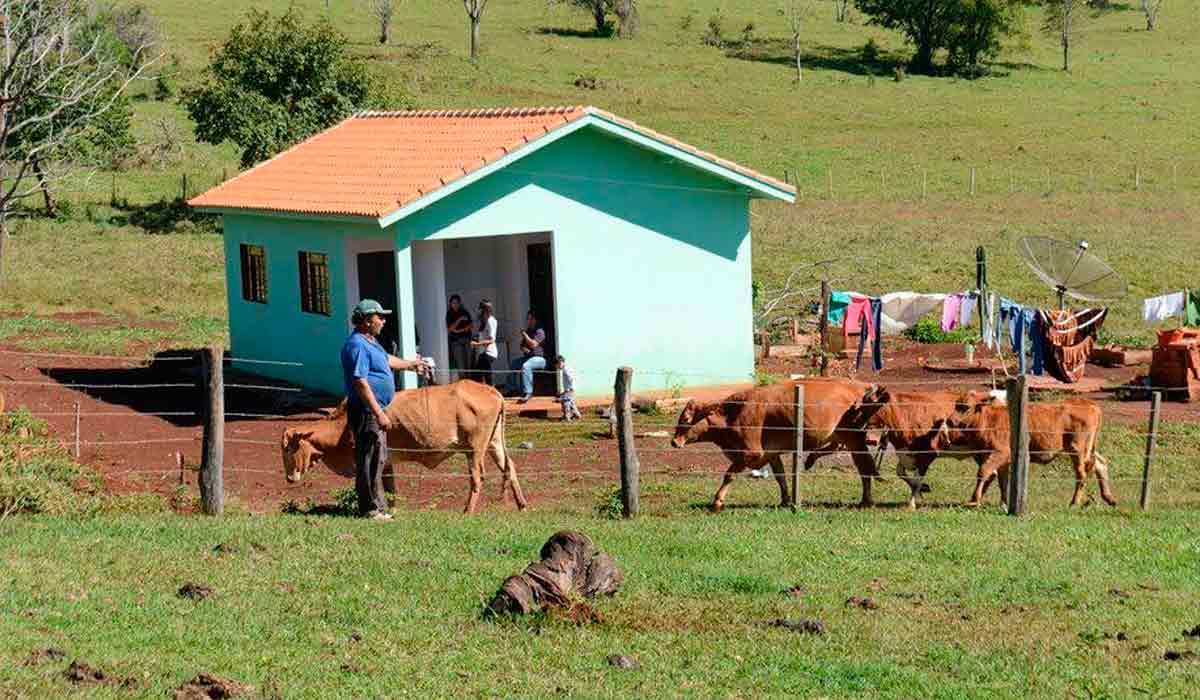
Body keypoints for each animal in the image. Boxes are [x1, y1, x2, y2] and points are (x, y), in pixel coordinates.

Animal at [283, 384, 528, 513]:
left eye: (288, 449)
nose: (289, 478)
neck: (343, 425)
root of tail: (493, 392)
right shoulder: (387, 462)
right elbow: (390, 488)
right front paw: (392, 509)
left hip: (474, 448)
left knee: (478, 477)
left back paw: (467, 511)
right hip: (494, 443)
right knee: (510, 467)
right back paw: (522, 505)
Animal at [672, 381, 878, 511]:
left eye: (686, 418)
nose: (674, 441)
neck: (735, 413)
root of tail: (859, 387)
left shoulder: (751, 454)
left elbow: (729, 474)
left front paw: (717, 502)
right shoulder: (771, 454)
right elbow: (781, 477)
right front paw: (786, 500)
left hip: (854, 439)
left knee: (864, 467)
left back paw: (865, 501)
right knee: (842, 451)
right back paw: (811, 459)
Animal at [931, 393, 1118, 509]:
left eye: (966, 407)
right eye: (956, 405)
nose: (950, 421)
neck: (989, 419)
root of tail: (1090, 404)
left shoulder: (1000, 453)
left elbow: (983, 472)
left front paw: (974, 501)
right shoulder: (1003, 461)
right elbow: (1002, 481)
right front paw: (1003, 502)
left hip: (1077, 449)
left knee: (1082, 474)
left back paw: (1074, 503)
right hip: (1089, 449)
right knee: (1101, 464)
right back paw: (1109, 498)